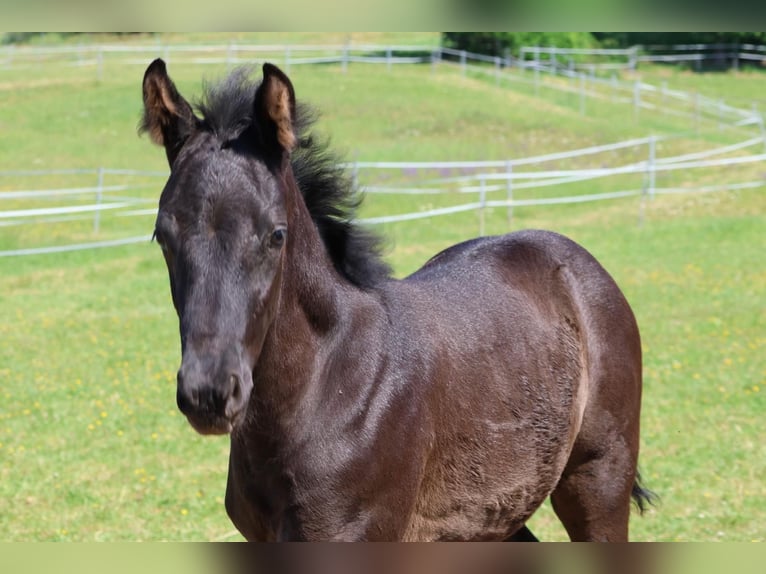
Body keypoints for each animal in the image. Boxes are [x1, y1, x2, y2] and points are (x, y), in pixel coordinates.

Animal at [140, 58, 654, 541]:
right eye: (162, 235)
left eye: (275, 235)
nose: (208, 393)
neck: (326, 385)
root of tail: (573, 257)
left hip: (598, 479)